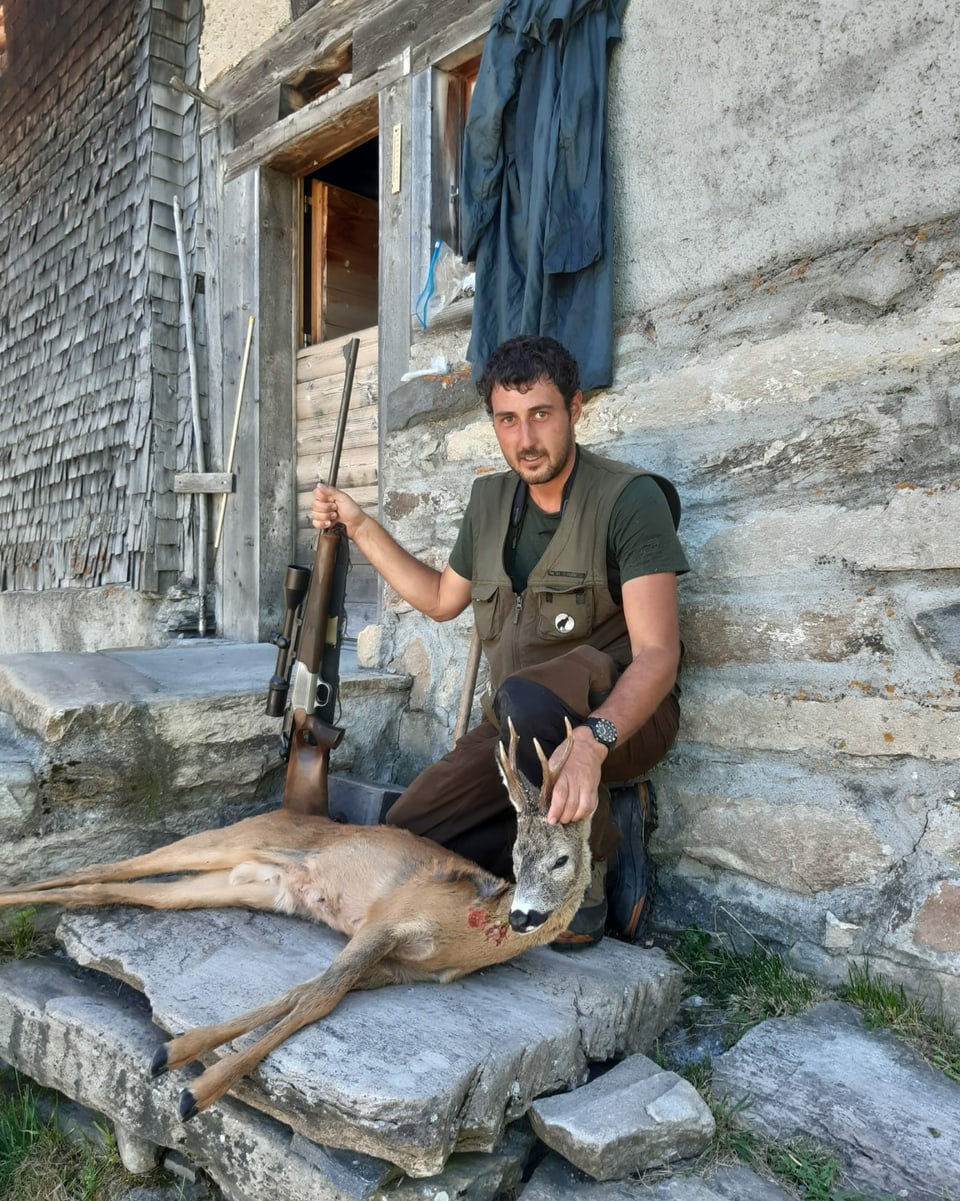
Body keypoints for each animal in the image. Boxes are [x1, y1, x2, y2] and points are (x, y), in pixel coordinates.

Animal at [0, 720, 593, 1124]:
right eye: (515, 853)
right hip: (230, 840)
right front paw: (197, 1091)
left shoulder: (399, 968)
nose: (524, 915)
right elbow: (318, 997)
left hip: (241, 885)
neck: (467, 931)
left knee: (112, 887)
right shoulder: (386, 921)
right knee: (101, 865)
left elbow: (302, 992)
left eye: (561, 859)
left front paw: (175, 1054)